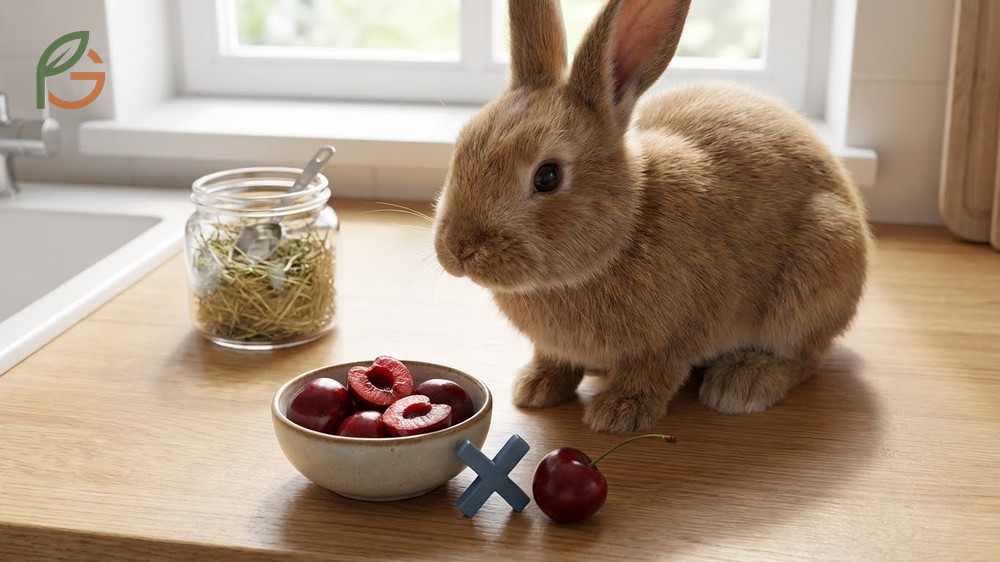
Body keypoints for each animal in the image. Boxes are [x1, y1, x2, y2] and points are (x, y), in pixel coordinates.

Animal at [432, 0, 872, 433]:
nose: (459, 249)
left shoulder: (680, 334)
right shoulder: (555, 346)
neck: (624, 233)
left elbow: (656, 372)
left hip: (813, 276)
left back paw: (742, 382)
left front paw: (619, 411)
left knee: (805, 355)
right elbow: (554, 359)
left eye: (548, 176)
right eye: (463, 144)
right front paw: (536, 386)